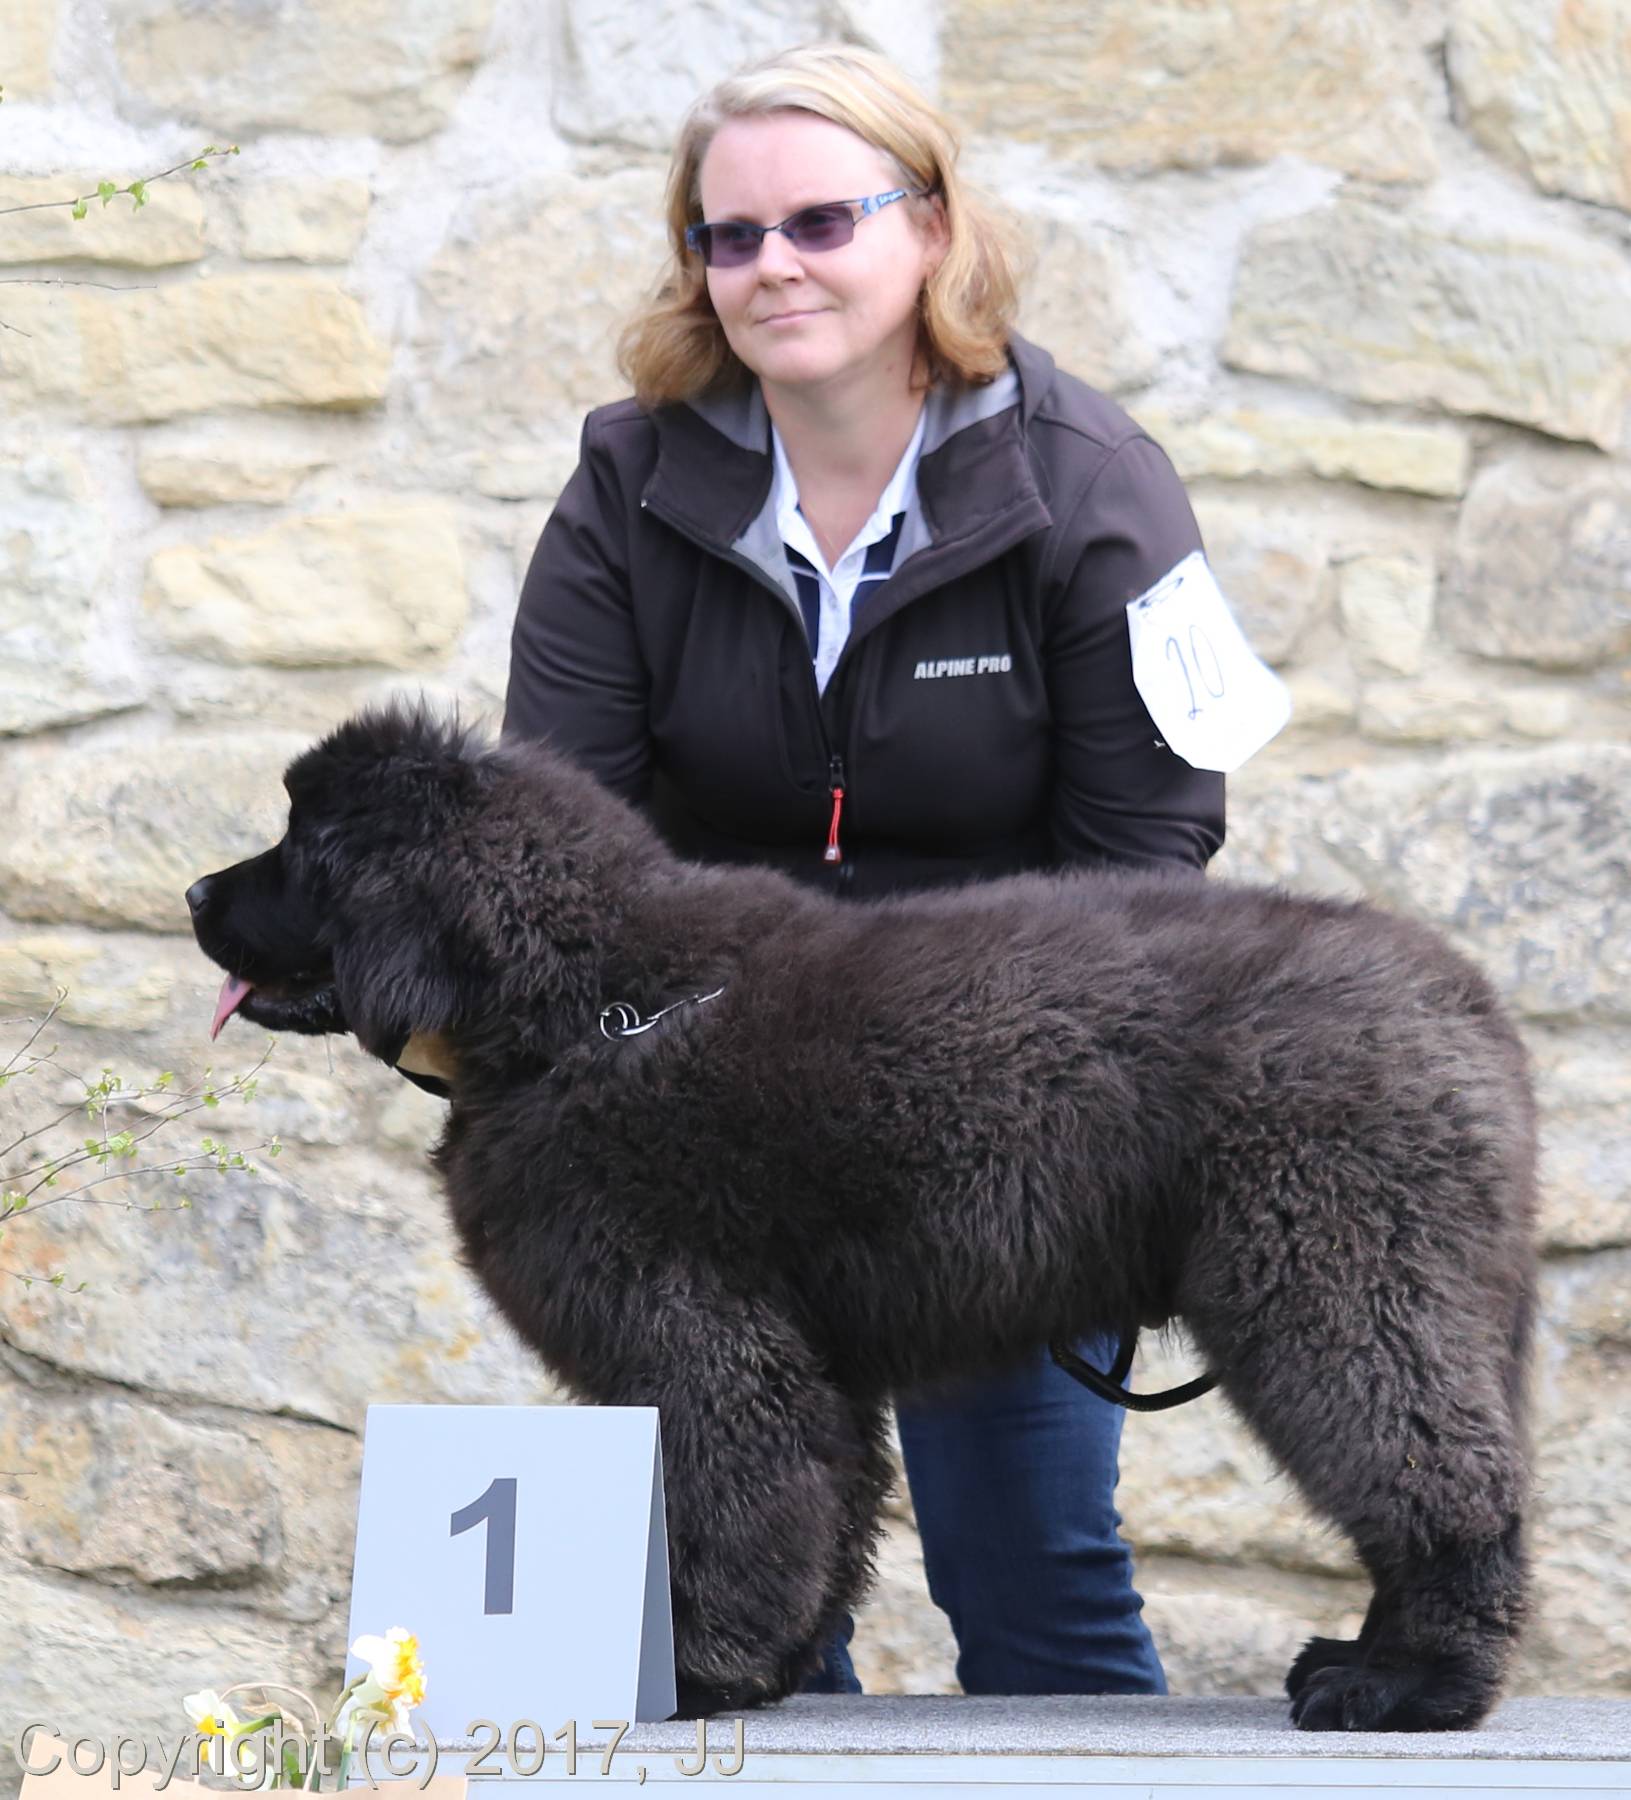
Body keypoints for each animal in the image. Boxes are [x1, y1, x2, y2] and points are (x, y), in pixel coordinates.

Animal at [186, 700, 1538, 1730]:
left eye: (306, 844)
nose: (196, 891)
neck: (585, 1004)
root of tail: (1459, 998)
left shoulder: (697, 1330)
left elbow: (721, 1499)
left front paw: (695, 1669)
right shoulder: (803, 1355)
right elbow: (820, 1506)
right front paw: (770, 1667)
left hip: (1333, 1273)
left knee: (1439, 1478)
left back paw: (1403, 1685)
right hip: (1425, 1284)